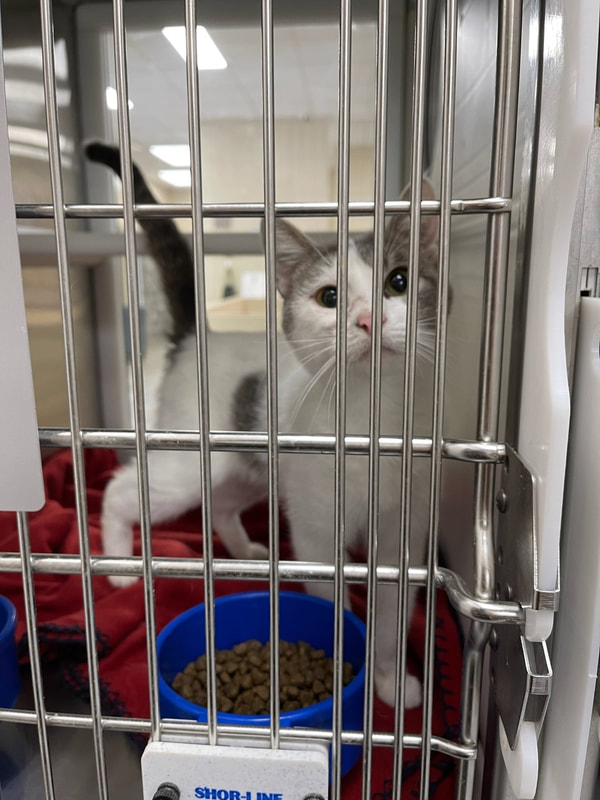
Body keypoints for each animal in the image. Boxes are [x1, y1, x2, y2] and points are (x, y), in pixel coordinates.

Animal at [87, 142, 440, 709]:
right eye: (329, 297)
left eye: (399, 282)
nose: (370, 319)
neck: (373, 418)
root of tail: (200, 336)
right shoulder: (316, 531)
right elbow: (336, 604)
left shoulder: (400, 536)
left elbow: (390, 614)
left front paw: (388, 679)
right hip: (188, 467)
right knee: (123, 489)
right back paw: (119, 565)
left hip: (249, 466)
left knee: (219, 504)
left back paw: (244, 551)